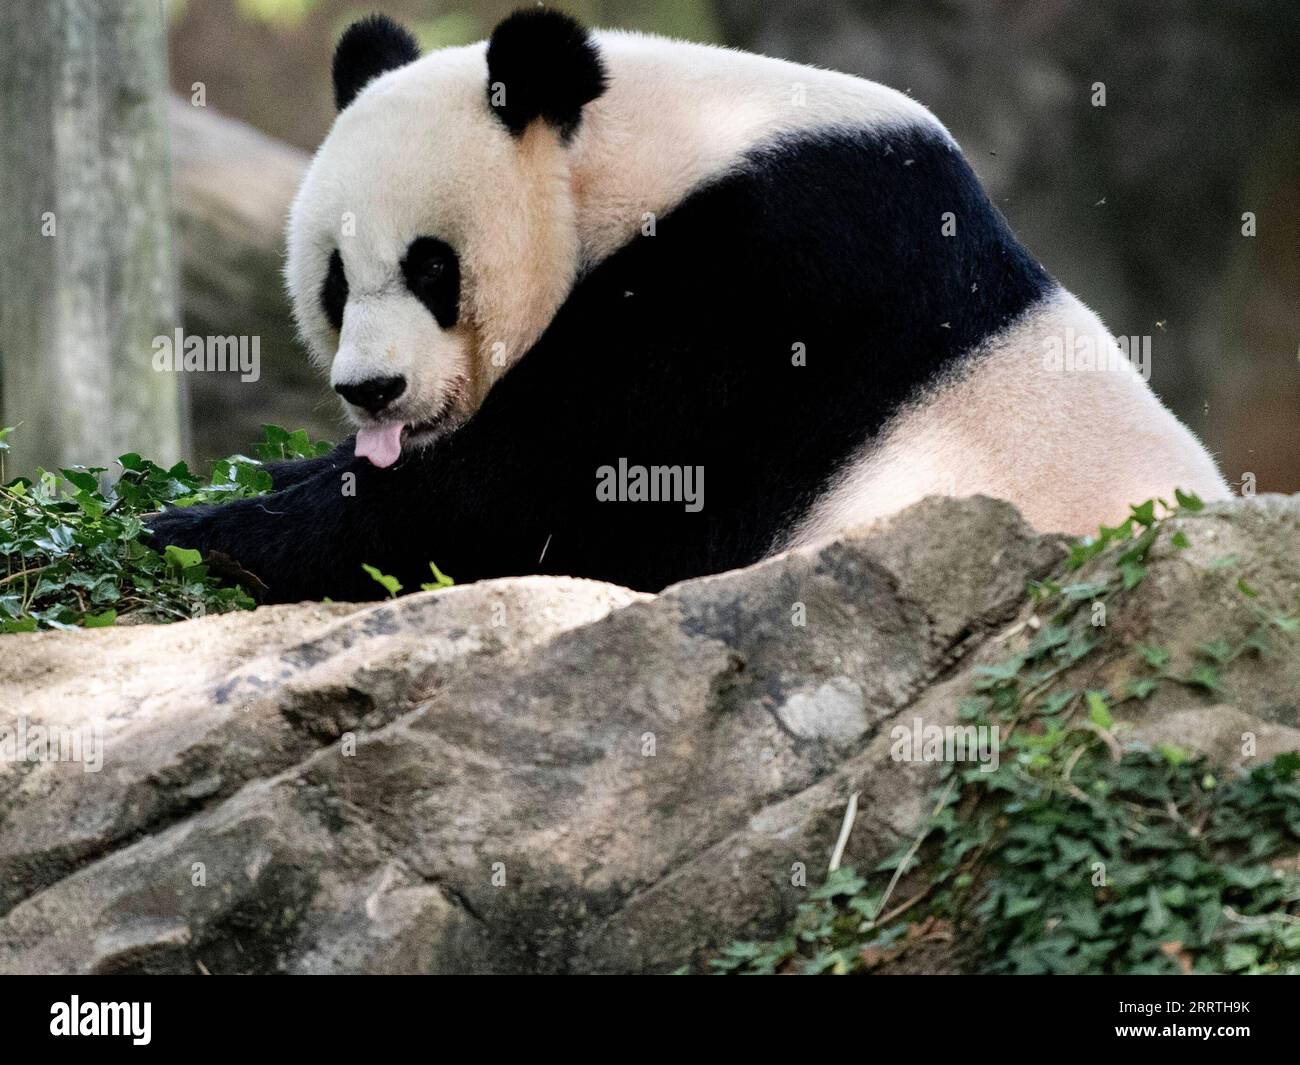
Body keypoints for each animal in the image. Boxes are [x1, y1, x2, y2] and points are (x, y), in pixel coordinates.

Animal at [147, 8, 1222, 603]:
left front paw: (196, 534)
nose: (372, 390)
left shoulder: (766, 284)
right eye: (334, 281)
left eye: (432, 269)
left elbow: (536, 500)